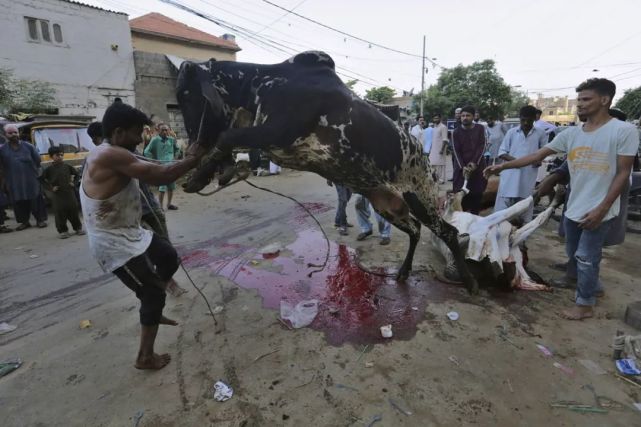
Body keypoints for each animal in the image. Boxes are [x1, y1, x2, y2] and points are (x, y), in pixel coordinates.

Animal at [178, 49, 478, 290]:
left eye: (187, 96)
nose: (191, 142)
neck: (260, 85)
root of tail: (426, 161)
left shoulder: (276, 131)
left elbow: (226, 137)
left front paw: (201, 175)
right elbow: (228, 141)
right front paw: (208, 174)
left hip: (420, 199)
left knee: (448, 233)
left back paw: (468, 281)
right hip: (386, 205)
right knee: (415, 230)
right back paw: (403, 272)